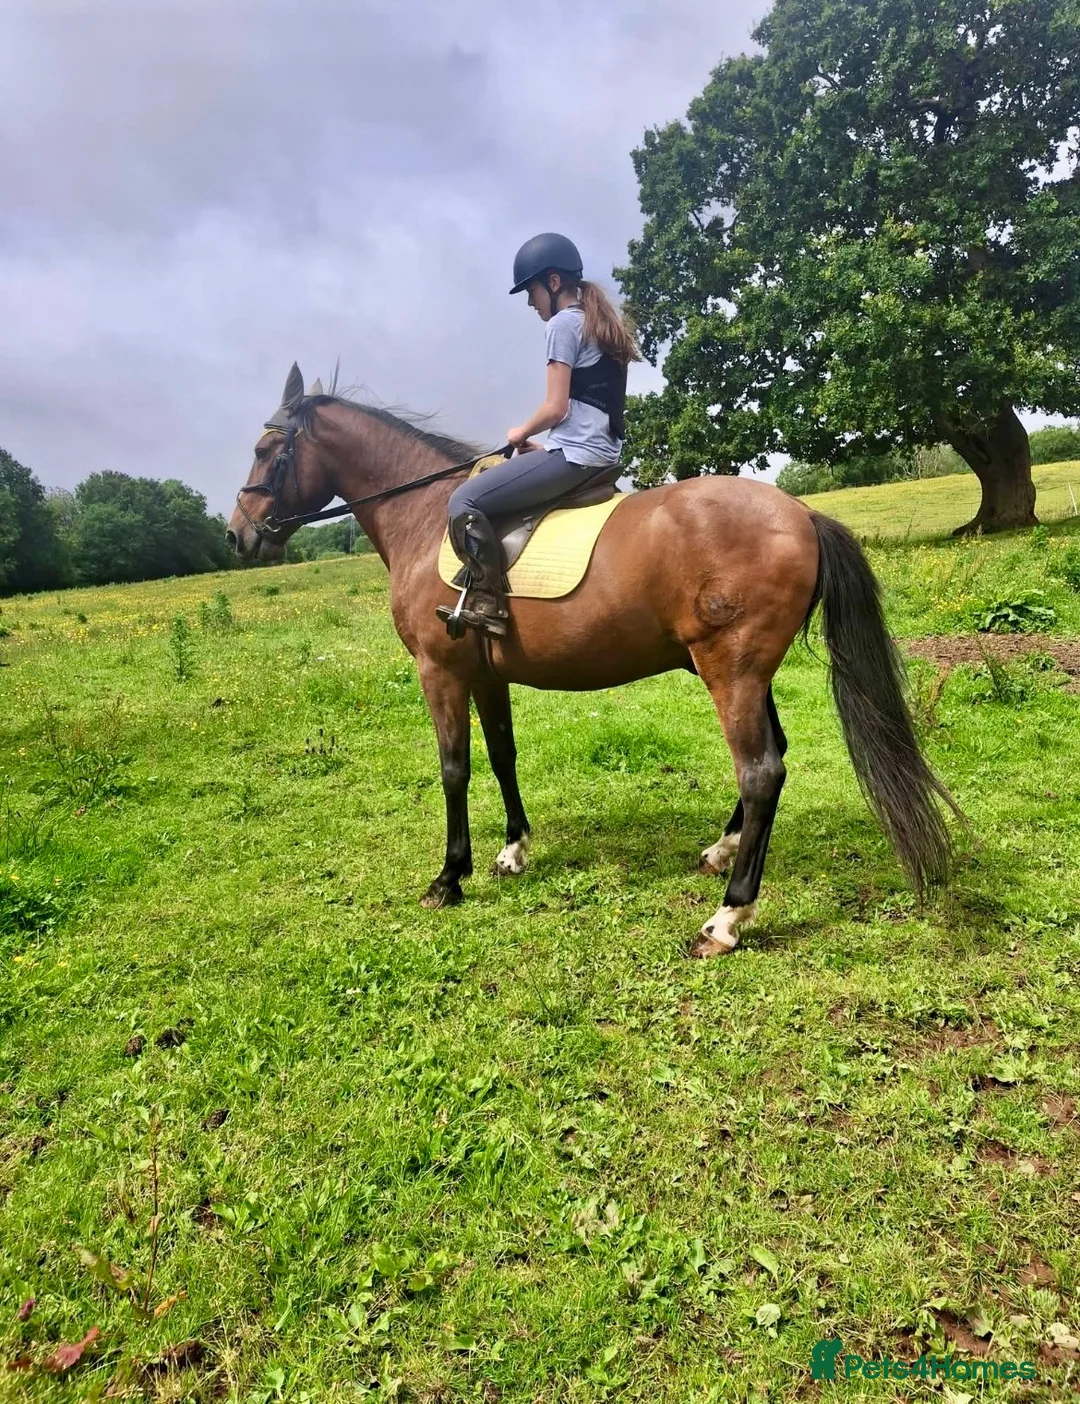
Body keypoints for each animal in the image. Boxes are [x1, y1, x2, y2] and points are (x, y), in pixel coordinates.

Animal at [227, 365, 956, 956]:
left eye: (265, 449)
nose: (237, 535)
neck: (426, 515)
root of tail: (802, 514)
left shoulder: (442, 671)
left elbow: (454, 769)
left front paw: (450, 876)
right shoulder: (486, 675)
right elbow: (502, 755)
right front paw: (513, 849)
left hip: (732, 670)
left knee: (760, 771)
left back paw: (726, 919)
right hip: (744, 671)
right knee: (772, 756)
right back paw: (721, 852)